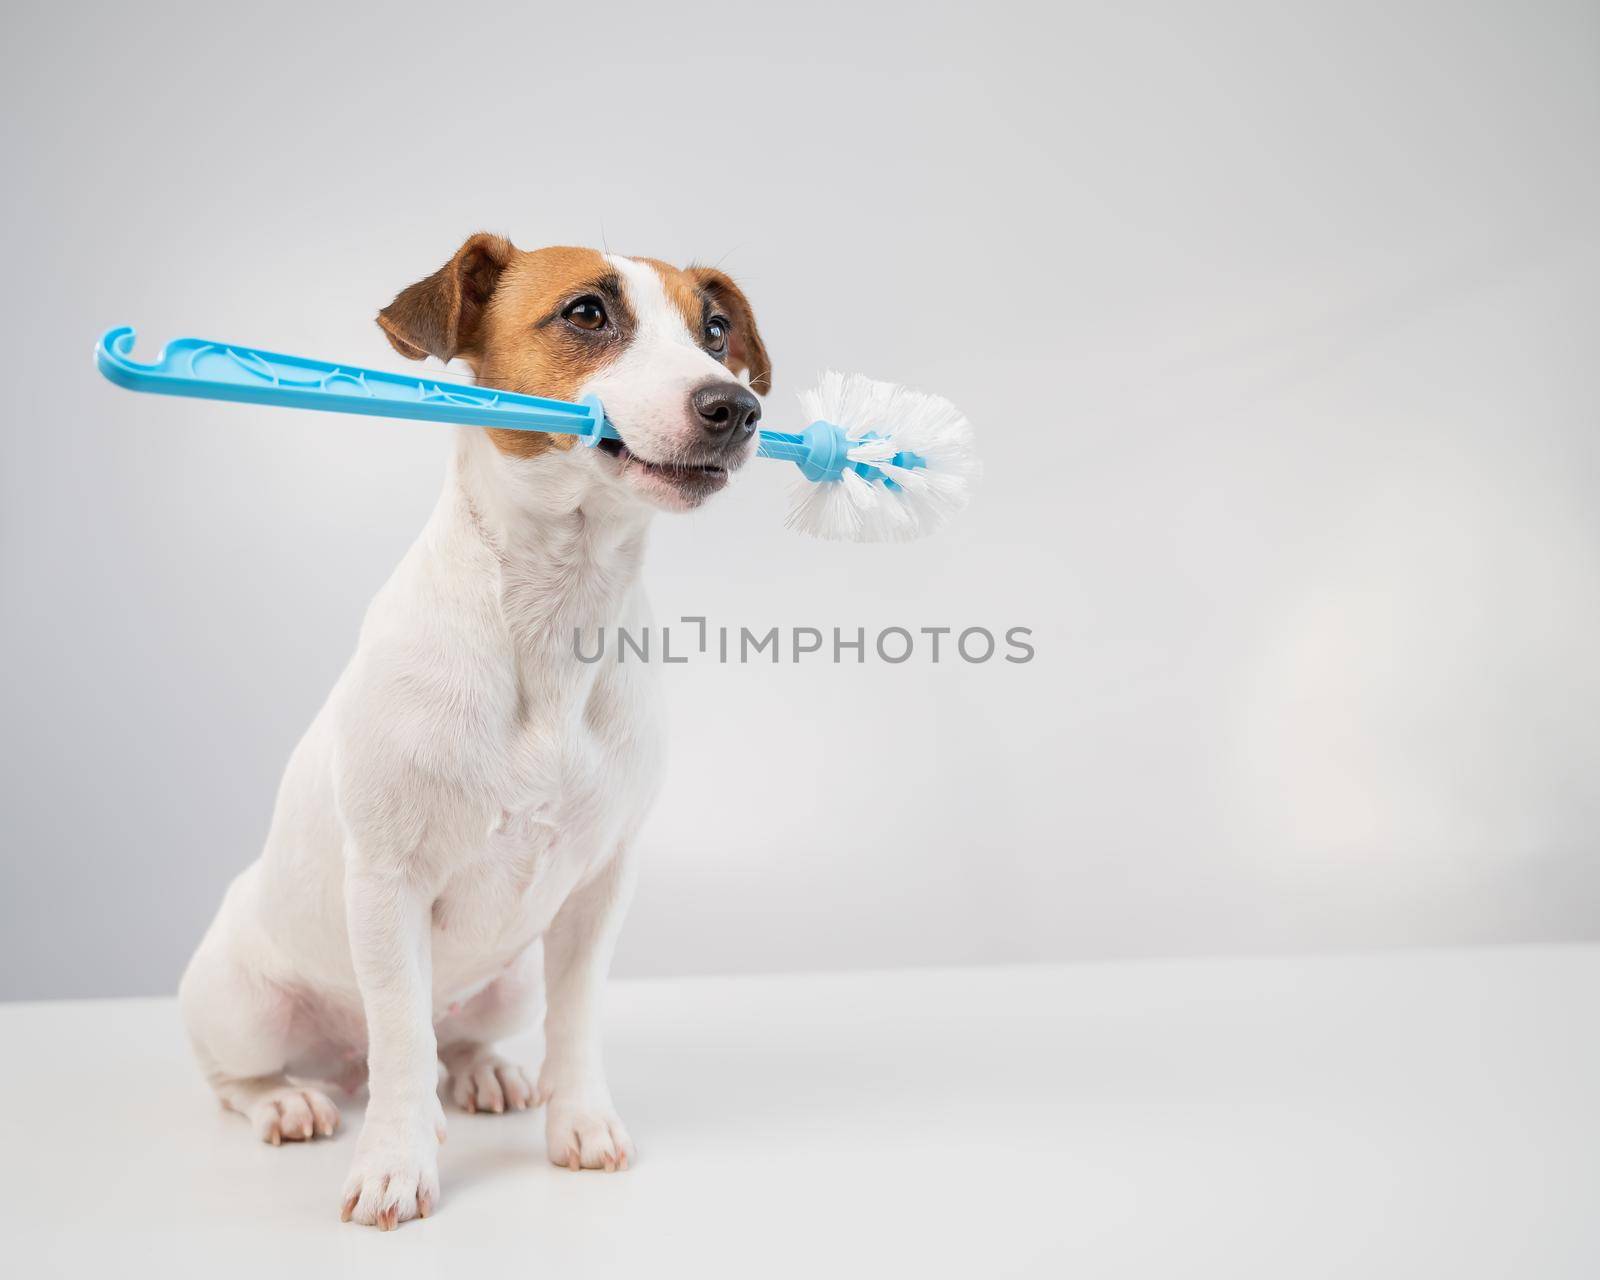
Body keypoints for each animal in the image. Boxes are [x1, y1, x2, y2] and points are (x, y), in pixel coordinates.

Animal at [178, 232, 771, 1228]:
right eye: (586, 313)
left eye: (717, 331)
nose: (737, 407)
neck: (555, 608)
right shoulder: (388, 886)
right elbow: (399, 1041)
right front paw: (395, 1162)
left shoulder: (598, 889)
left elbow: (576, 1021)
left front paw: (581, 1121)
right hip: (242, 1003)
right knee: (248, 1075)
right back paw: (288, 1101)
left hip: (509, 980)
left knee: (447, 1040)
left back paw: (484, 1070)